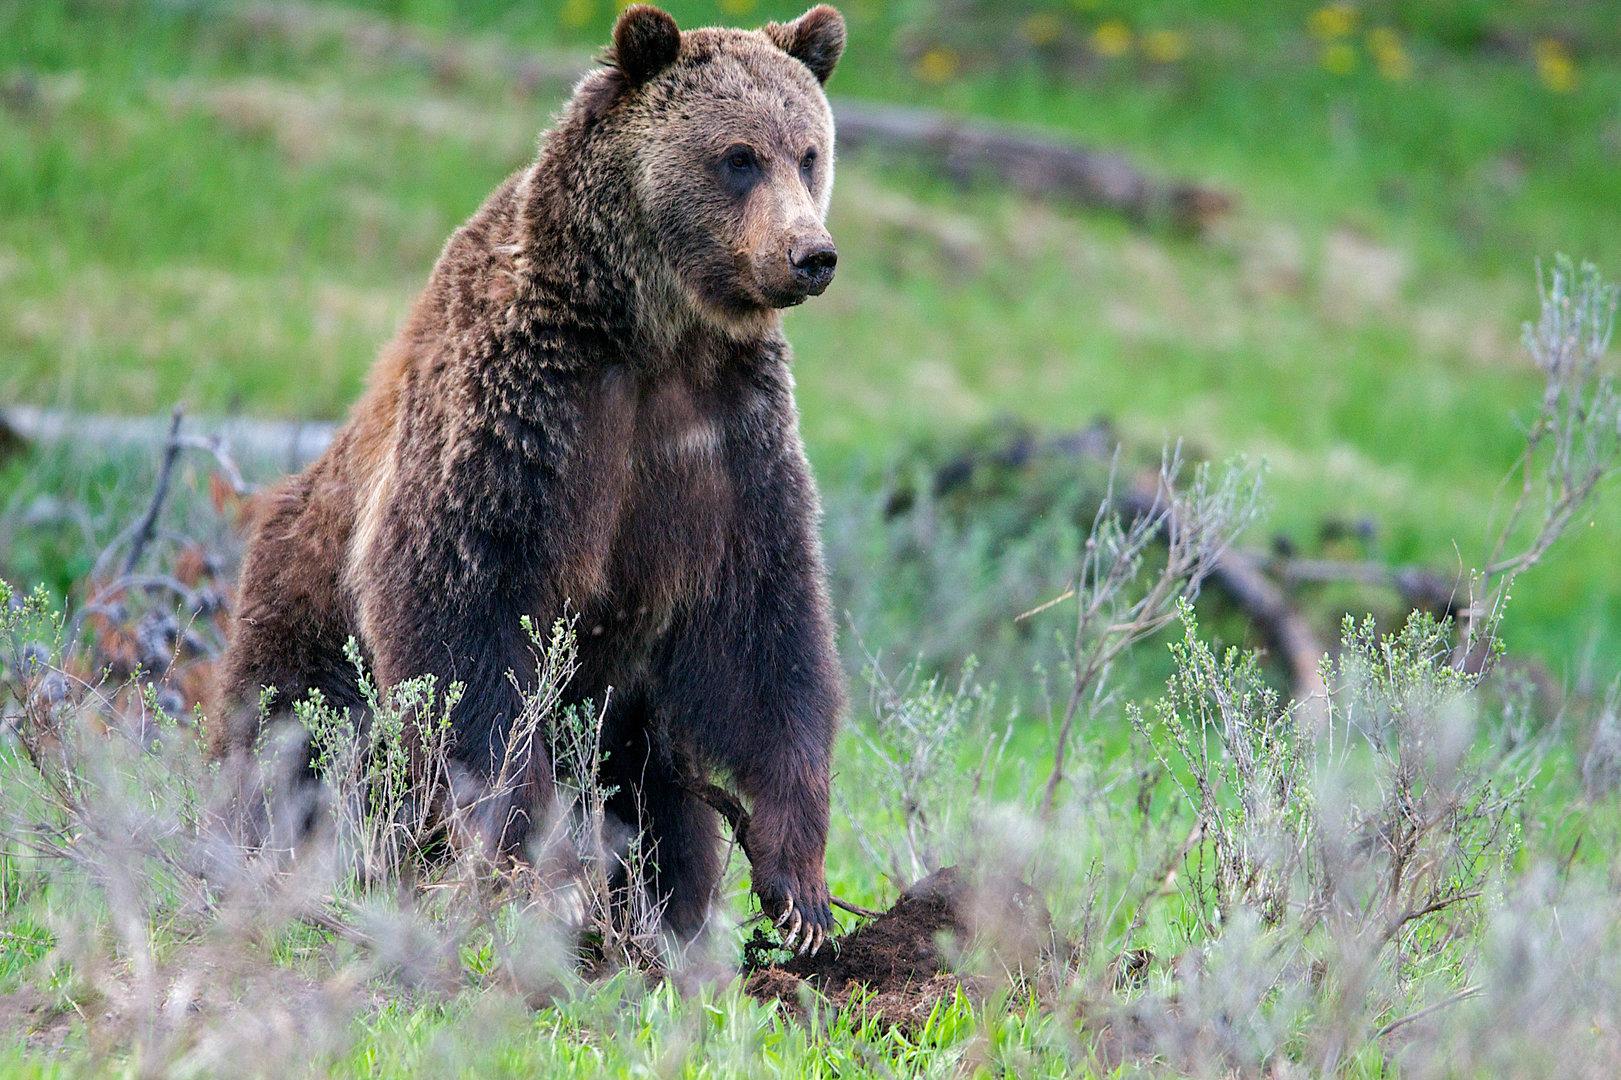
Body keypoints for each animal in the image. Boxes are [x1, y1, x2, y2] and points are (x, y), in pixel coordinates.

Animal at [215, 4, 848, 954]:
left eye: (807, 151)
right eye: (737, 156)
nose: (809, 254)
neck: (654, 334)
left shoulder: (730, 445)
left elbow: (765, 632)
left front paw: (797, 888)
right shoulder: (525, 414)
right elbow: (464, 615)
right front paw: (534, 865)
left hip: (630, 723)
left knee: (661, 807)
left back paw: (661, 925)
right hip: (302, 614)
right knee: (295, 743)